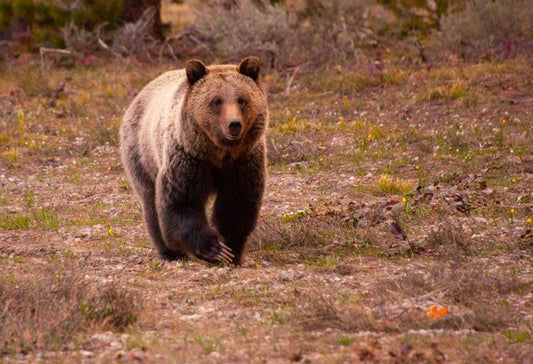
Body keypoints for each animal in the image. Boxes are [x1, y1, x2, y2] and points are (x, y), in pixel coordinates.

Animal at [121, 56, 270, 264]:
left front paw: (231, 250)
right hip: (141, 154)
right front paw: (215, 249)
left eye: (241, 99)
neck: (218, 152)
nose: (234, 124)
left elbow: (236, 204)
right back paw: (170, 252)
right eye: (216, 100)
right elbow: (182, 201)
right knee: (150, 201)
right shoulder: (188, 159)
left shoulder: (243, 162)